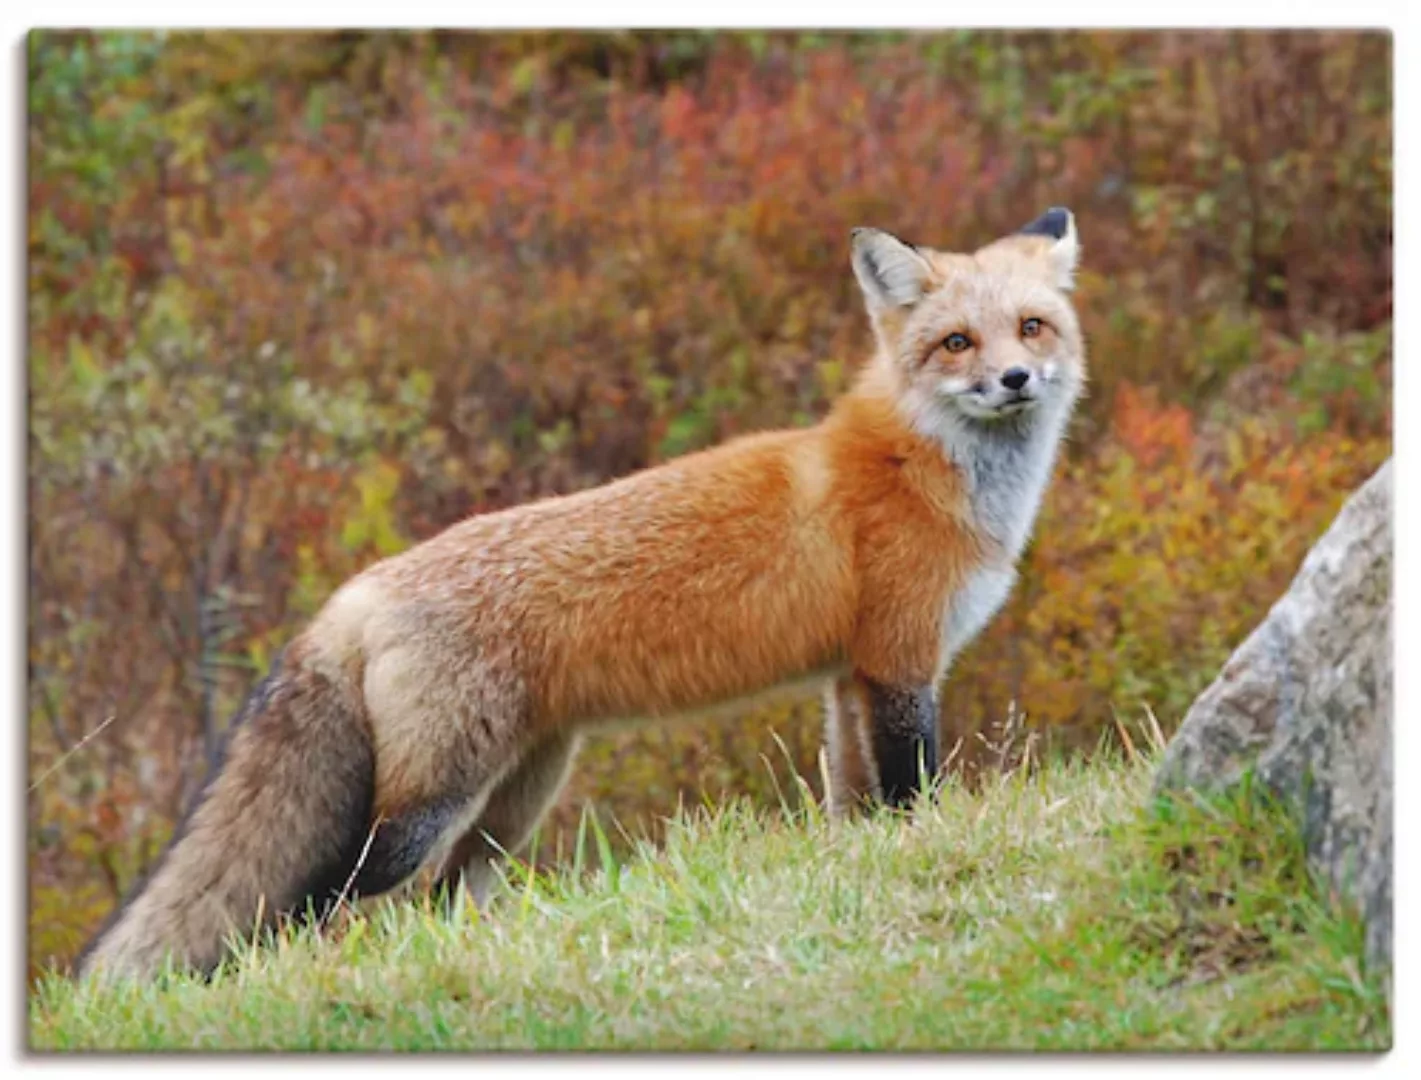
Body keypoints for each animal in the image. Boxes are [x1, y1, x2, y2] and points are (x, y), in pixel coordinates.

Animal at [77, 206, 1085, 983]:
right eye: (956, 342)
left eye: (1031, 327)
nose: (1013, 379)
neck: (920, 468)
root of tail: (354, 592)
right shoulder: (901, 662)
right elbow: (914, 794)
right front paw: (922, 850)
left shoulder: (850, 678)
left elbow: (854, 804)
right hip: (427, 804)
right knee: (322, 899)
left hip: (515, 799)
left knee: (442, 898)